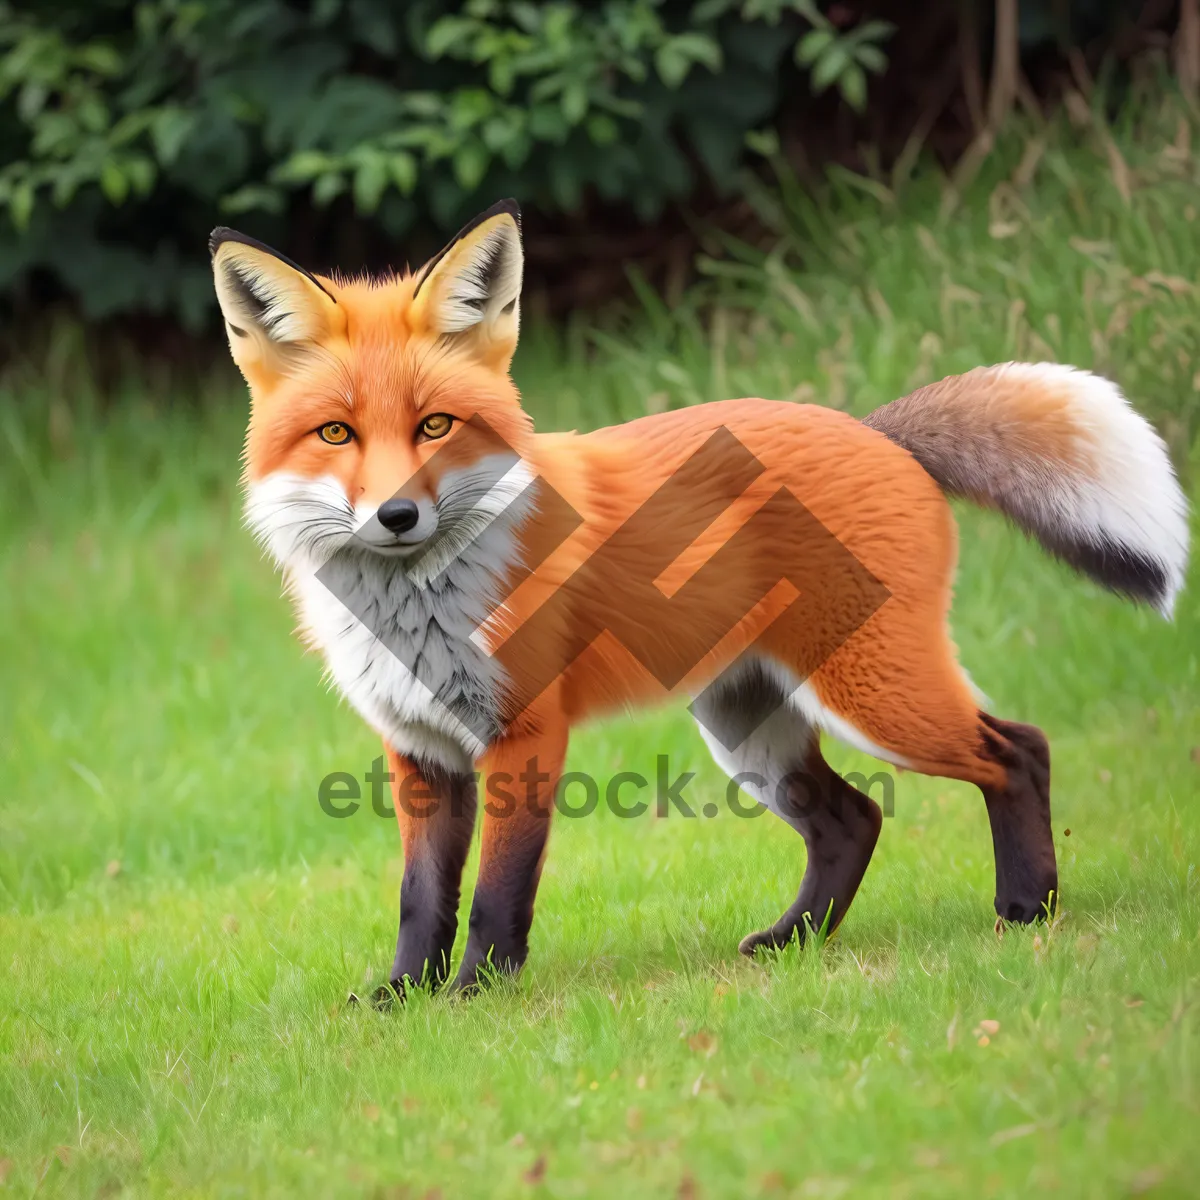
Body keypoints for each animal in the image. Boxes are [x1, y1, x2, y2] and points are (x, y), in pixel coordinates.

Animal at [208, 201, 1190, 998]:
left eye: (435, 426)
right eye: (337, 433)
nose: (397, 515)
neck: (416, 611)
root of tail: (873, 430)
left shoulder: (525, 734)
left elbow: (495, 893)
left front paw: (477, 992)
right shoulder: (419, 750)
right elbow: (422, 900)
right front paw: (404, 996)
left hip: (874, 698)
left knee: (1019, 750)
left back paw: (1027, 906)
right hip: (747, 724)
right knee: (855, 820)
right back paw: (795, 941)